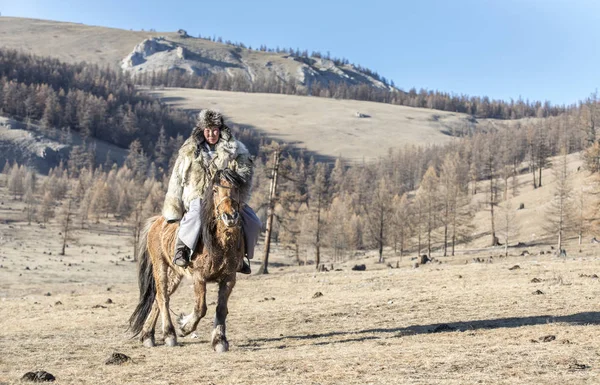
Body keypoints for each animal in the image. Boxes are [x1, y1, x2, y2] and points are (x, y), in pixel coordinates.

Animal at [128, 168, 246, 352]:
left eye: (237, 189)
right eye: (215, 190)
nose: (230, 217)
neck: (219, 243)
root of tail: (157, 221)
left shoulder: (229, 278)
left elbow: (221, 308)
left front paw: (220, 340)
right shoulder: (199, 277)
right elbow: (200, 308)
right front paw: (184, 327)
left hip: (175, 273)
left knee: (159, 298)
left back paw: (147, 335)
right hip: (160, 266)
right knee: (163, 297)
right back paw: (169, 335)